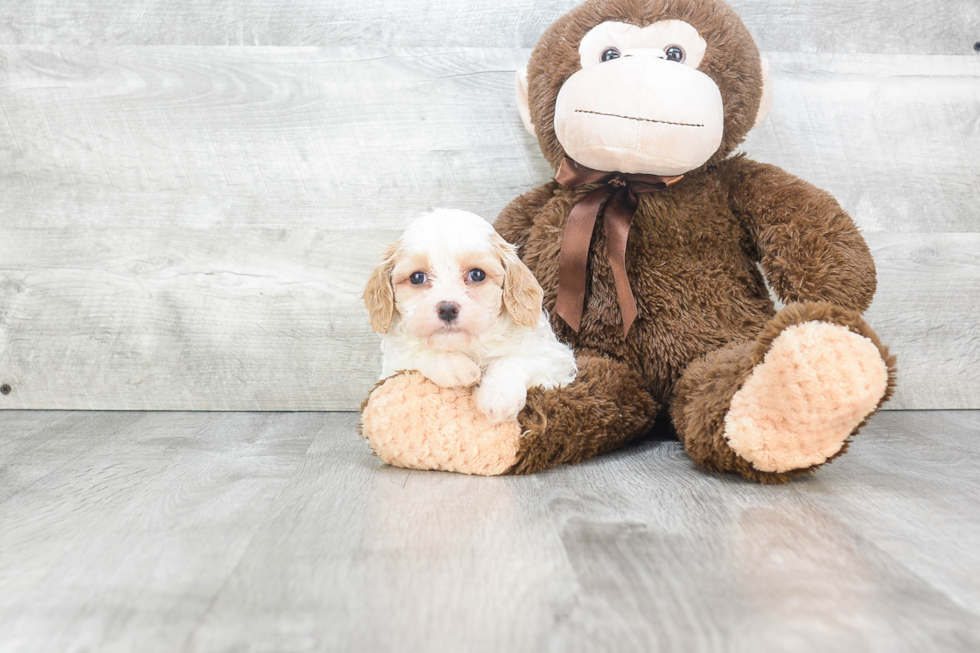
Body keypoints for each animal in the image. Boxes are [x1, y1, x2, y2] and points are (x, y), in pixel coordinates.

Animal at [364, 209, 580, 422]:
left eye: (477, 274)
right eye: (417, 277)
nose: (447, 309)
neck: (470, 346)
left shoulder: (555, 357)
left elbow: (516, 360)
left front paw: (499, 396)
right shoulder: (392, 367)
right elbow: (414, 352)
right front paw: (456, 367)